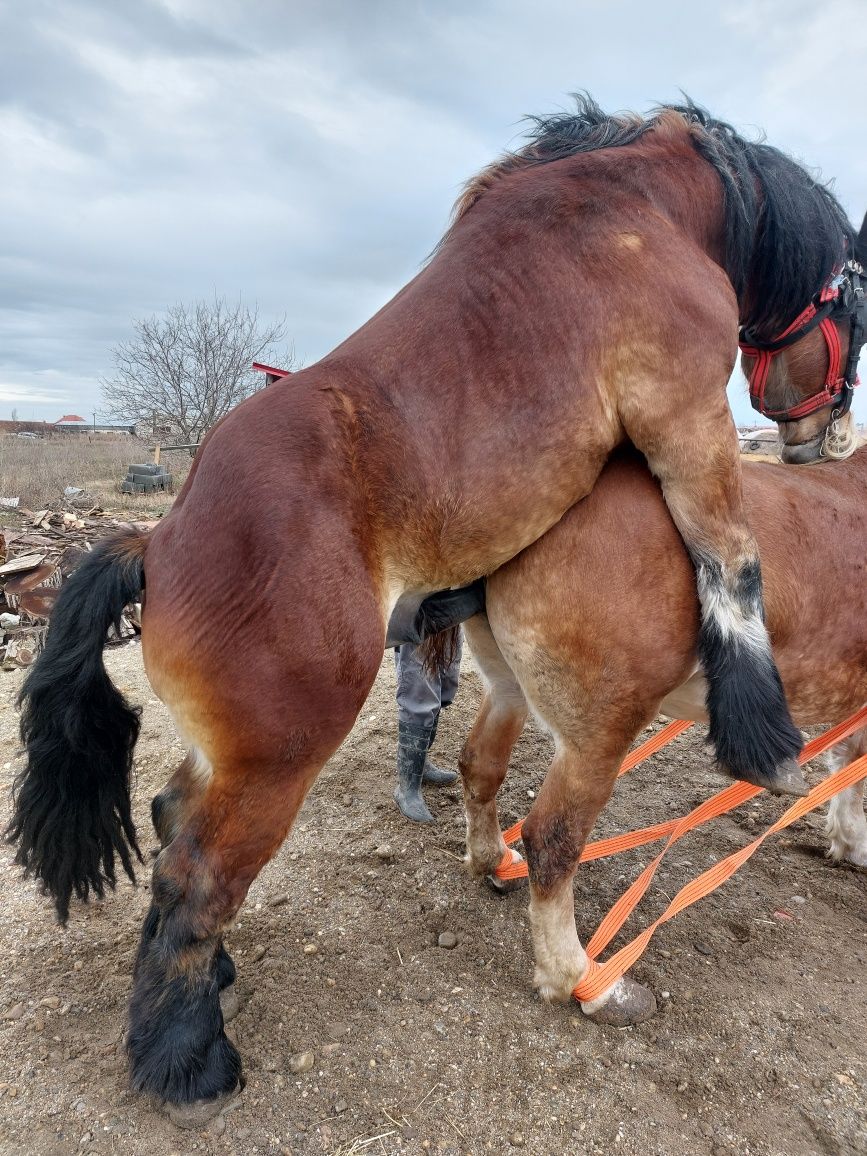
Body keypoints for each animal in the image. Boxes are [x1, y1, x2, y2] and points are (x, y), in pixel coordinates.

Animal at [462, 439, 867, 1021]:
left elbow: (848, 761)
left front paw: (848, 840)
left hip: (506, 689)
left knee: (481, 768)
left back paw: (491, 857)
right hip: (598, 734)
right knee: (553, 840)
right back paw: (582, 979)